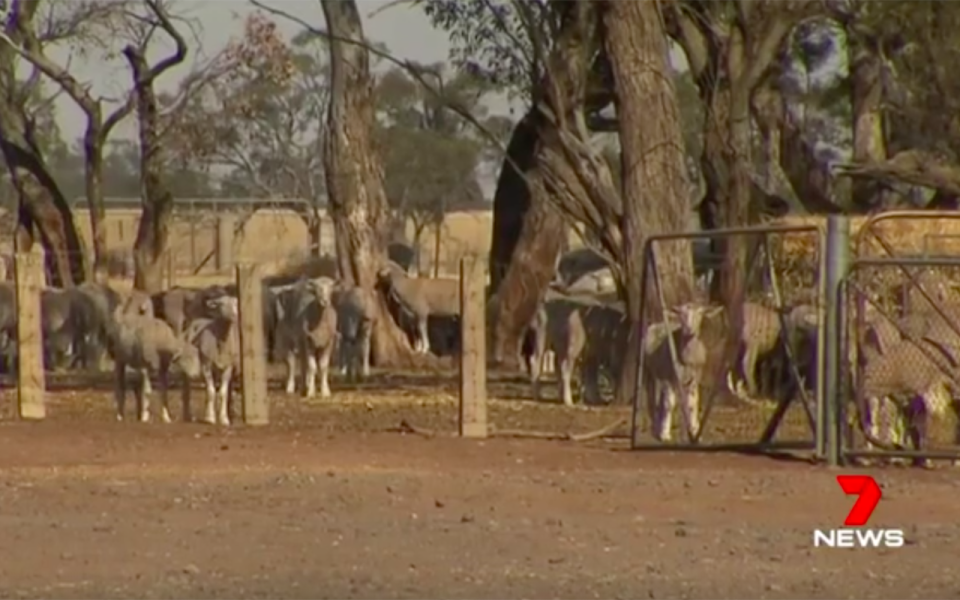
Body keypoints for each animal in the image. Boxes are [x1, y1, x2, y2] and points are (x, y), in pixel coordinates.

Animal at [185, 292, 242, 424]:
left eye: (235, 304)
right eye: (221, 304)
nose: (234, 315)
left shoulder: (228, 367)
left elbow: (222, 393)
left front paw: (224, 418)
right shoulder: (206, 365)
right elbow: (211, 392)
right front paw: (210, 418)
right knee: (188, 389)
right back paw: (188, 415)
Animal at [644, 302, 720, 442]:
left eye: (700, 313)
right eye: (681, 314)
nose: (689, 329)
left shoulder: (694, 379)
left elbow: (693, 403)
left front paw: (694, 431)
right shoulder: (669, 377)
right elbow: (669, 404)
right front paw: (665, 434)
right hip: (651, 371)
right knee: (652, 397)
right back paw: (656, 427)